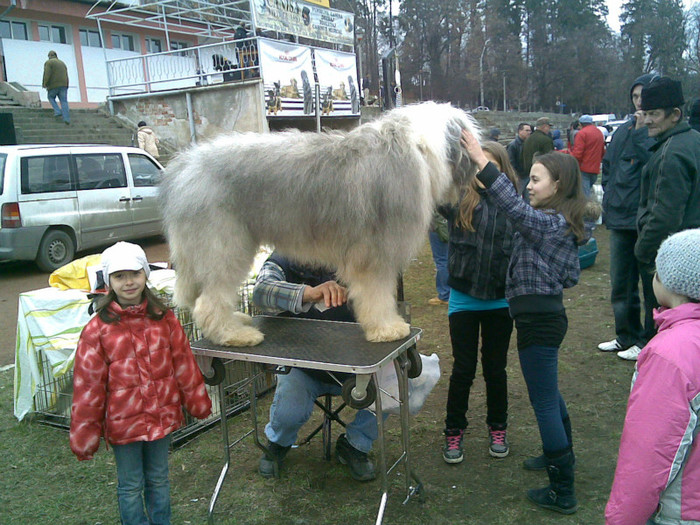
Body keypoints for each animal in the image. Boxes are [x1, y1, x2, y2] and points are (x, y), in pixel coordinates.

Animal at [161, 103, 482, 348]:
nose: (478, 170)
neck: (420, 145)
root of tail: (184, 168)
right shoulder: (375, 253)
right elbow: (377, 295)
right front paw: (387, 328)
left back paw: (235, 321)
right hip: (224, 245)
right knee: (208, 301)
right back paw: (234, 334)